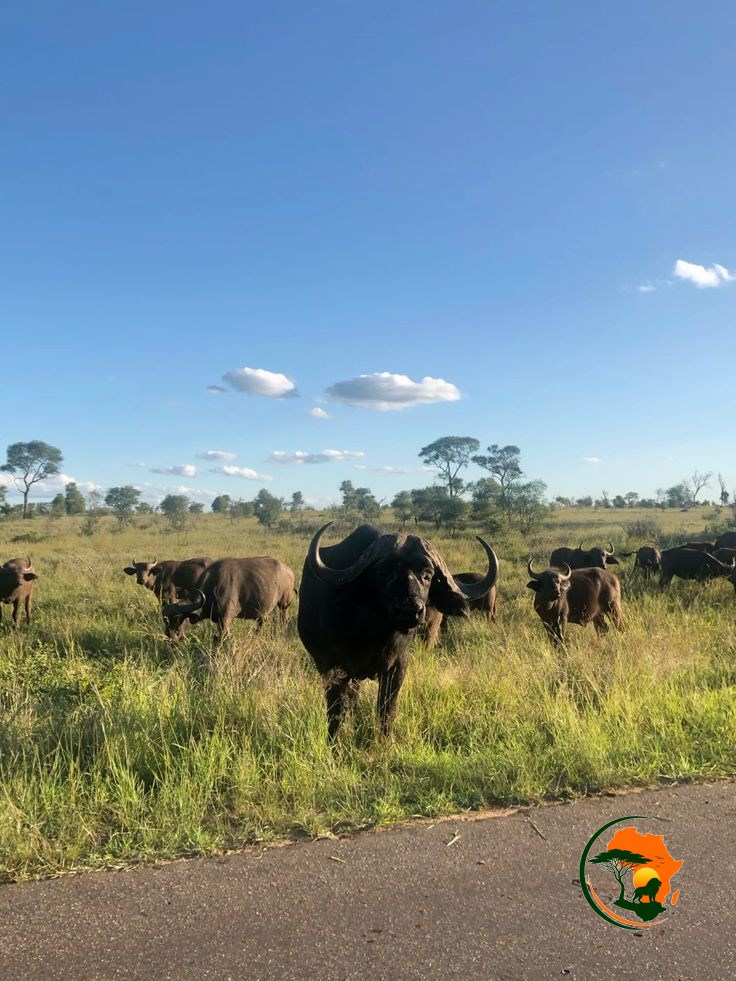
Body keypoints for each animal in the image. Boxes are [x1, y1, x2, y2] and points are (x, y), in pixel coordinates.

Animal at [161, 556, 295, 641]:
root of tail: (288, 570)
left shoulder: (226, 617)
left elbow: (221, 637)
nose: (170, 635)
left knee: (284, 620)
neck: (214, 586)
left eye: (179, 618)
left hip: (284, 604)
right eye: (166, 619)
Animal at [298, 523, 498, 740]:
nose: (409, 610)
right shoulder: (334, 668)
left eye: (427, 574)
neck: (373, 634)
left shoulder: (397, 666)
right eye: (384, 572)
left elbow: (387, 710)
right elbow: (336, 714)